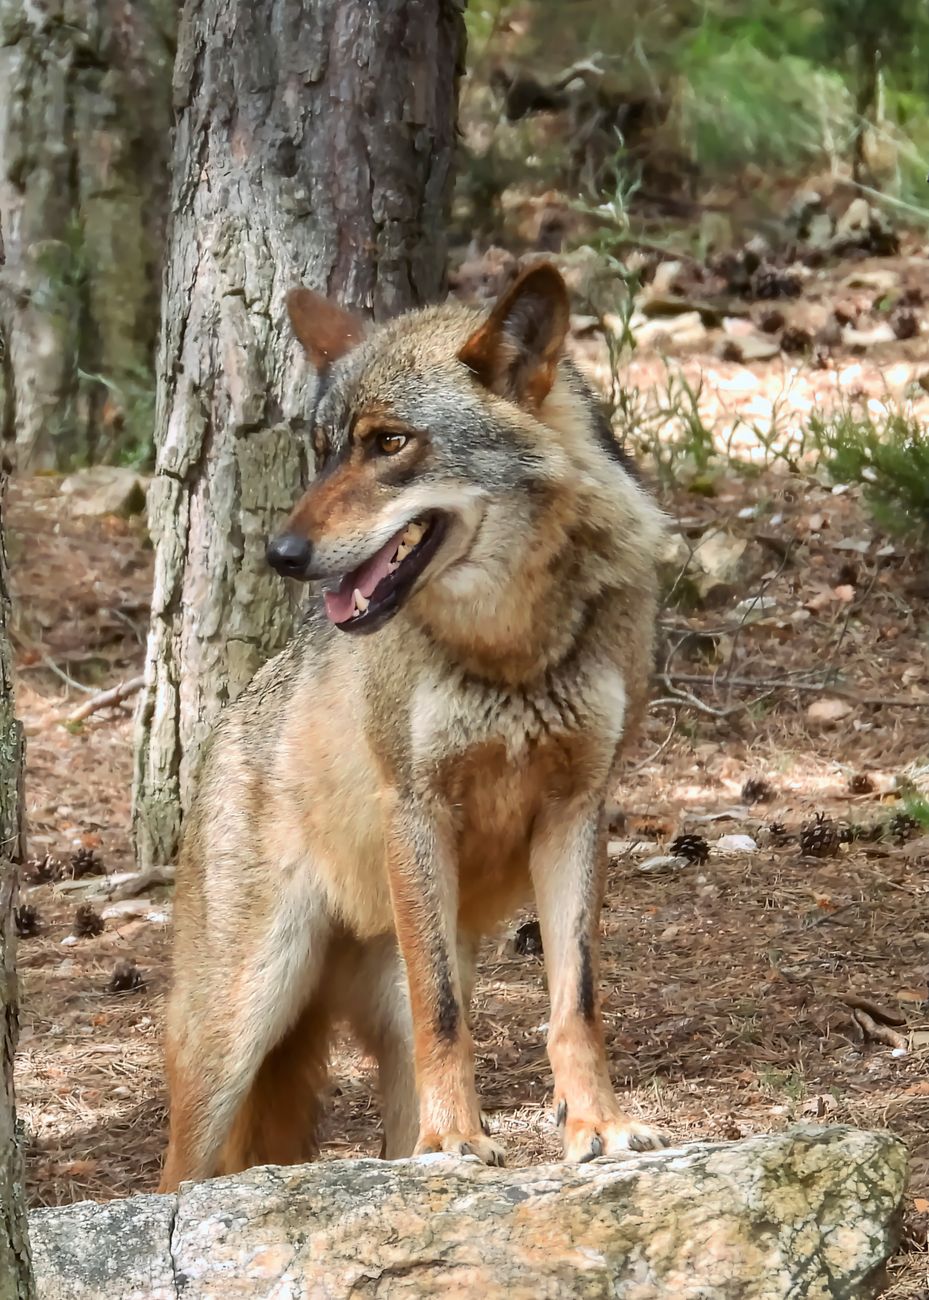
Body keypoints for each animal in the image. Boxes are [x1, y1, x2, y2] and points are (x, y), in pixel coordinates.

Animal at [159, 263, 667, 1190]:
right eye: (325, 446)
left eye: (389, 443)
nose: (282, 555)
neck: (509, 646)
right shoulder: (415, 805)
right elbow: (447, 1016)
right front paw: (458, 1144)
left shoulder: (578, 809)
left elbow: (575, 1003)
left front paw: (599, 1129)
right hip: (237, 1031)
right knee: (179, 1177)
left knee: (396, 1123)